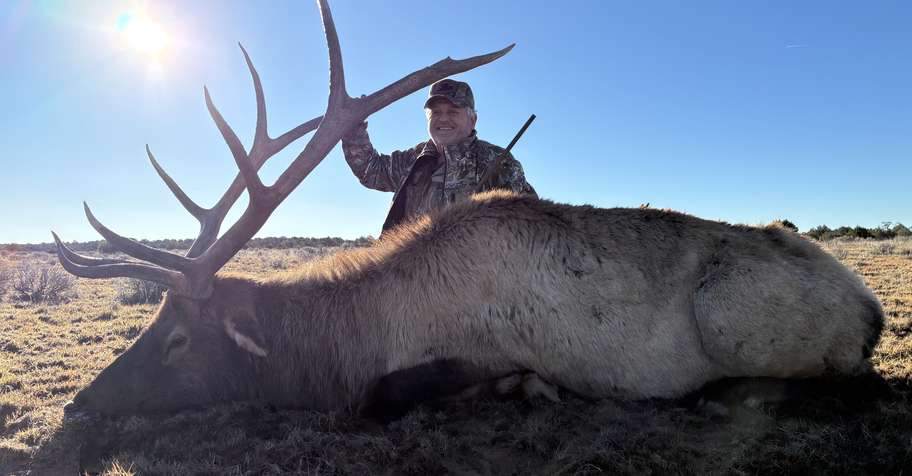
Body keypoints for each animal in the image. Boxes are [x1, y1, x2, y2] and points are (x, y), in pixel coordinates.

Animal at [58, 0, 884, 420]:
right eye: (152, 324)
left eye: (177, 342)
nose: (77, 406)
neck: (345, 343)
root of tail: (871, 304)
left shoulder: (472, 352)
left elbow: (388, 396)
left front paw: (528, 387)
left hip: (732, 316)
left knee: (839, 378)